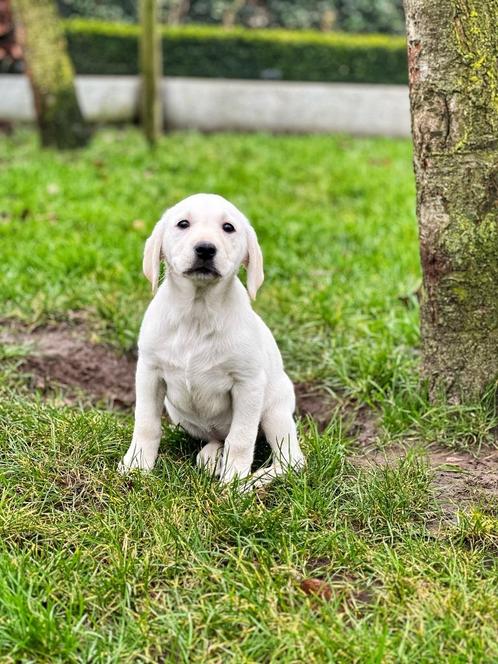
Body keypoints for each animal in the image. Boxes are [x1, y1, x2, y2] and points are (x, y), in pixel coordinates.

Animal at [120, 195, 306, 486]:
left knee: (291, 460)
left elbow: (240, 439)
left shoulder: (248, 384)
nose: (206, 249)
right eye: (183, 224)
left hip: (276, 411)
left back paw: (254, 481)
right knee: (218, 440)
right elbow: (147, 424)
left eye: (228, 228)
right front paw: (137, 465)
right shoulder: (149, 372)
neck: (197, 312)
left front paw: (234, 483)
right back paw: (210, 458)